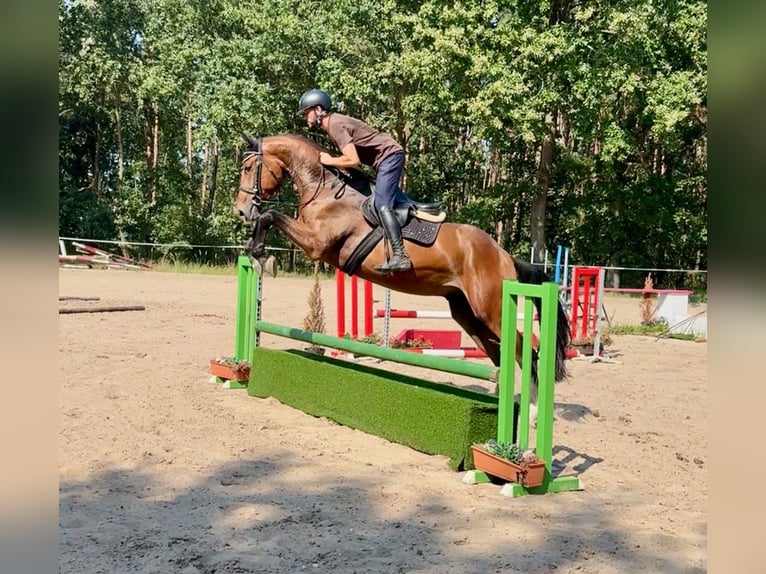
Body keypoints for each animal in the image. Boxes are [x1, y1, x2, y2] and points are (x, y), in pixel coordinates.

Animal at [237, 133, 572, 396]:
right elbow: (268, 219)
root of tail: (504, 256)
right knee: (502, 354)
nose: (241, 211)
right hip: (468, 314)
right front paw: (256, 255)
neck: (327, 190)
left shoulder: (315, 243)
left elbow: (270, 216)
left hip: (491, 309)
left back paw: (528, 415)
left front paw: (263, 256)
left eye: (248, 168)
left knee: (525, 350)